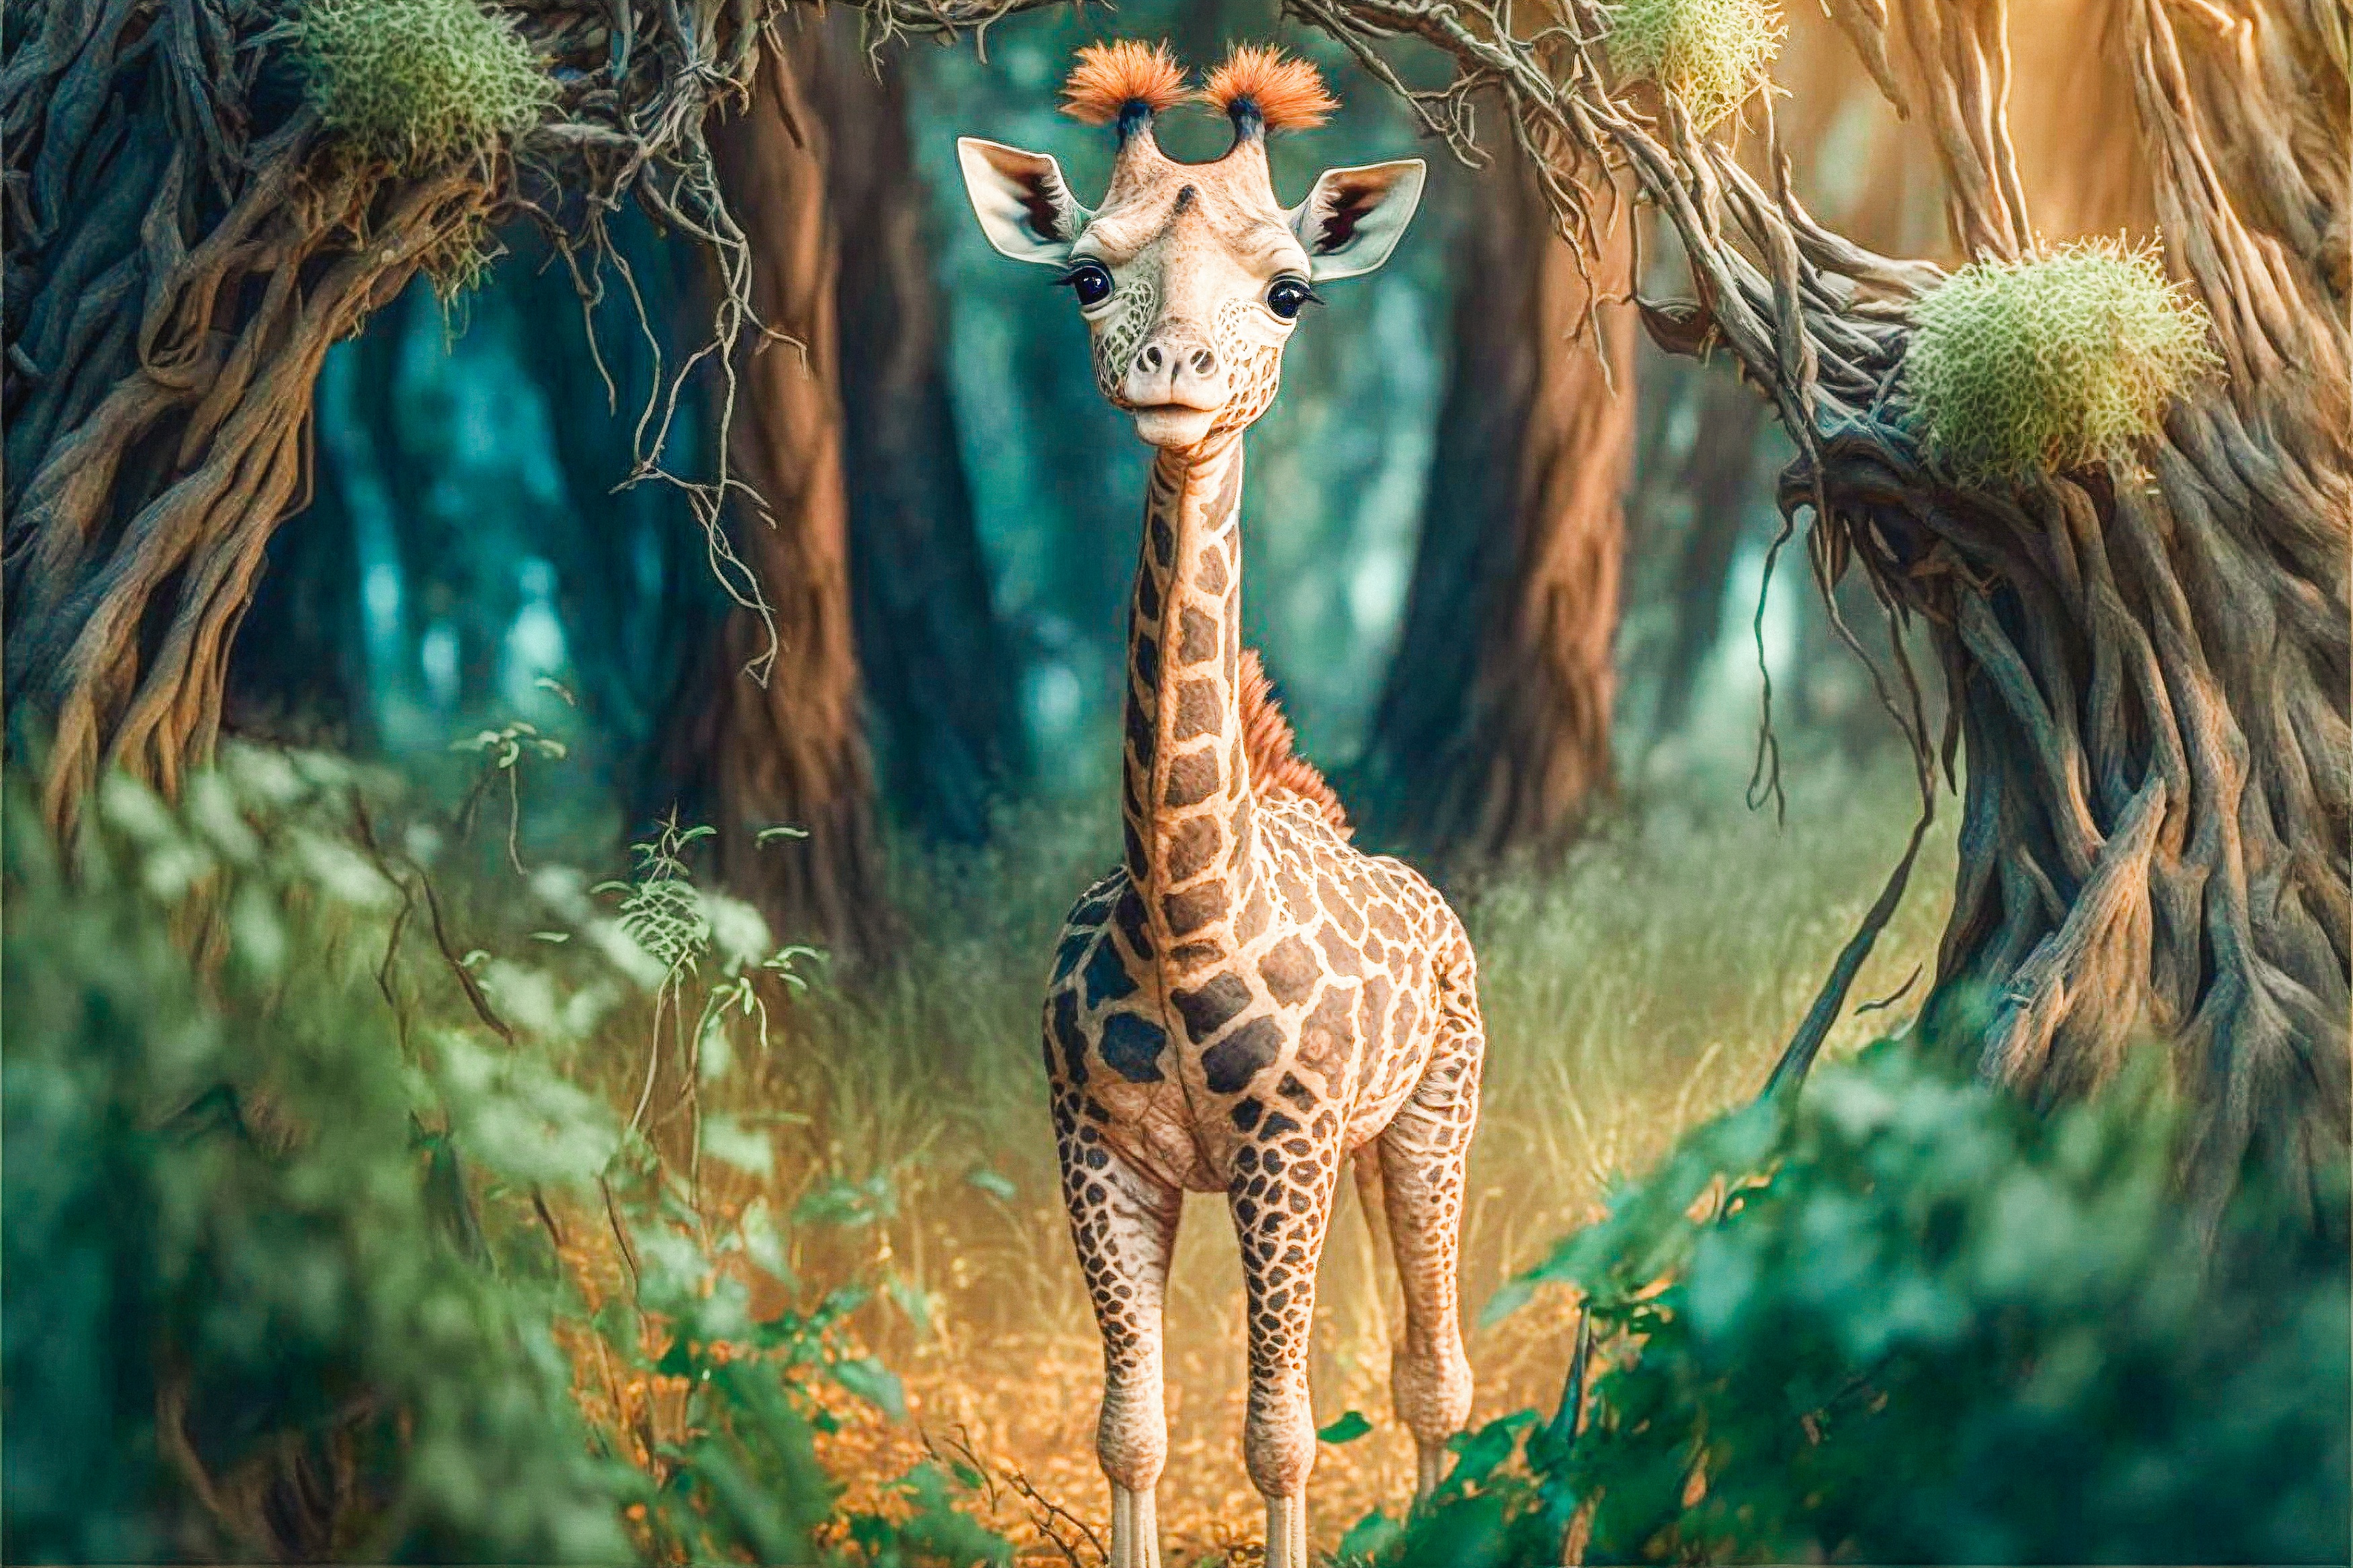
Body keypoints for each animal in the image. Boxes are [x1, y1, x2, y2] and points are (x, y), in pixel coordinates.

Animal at [957, 42, 1483, 1568]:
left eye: (1289, 289)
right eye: (1086, 274)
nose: (1173, 377)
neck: (1186, 910)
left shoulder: (1284, 1148)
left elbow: (1281, 1434)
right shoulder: (1095, 1148)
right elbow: (1128, 1427)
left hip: (1432, 1112)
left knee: (1435, 1371)